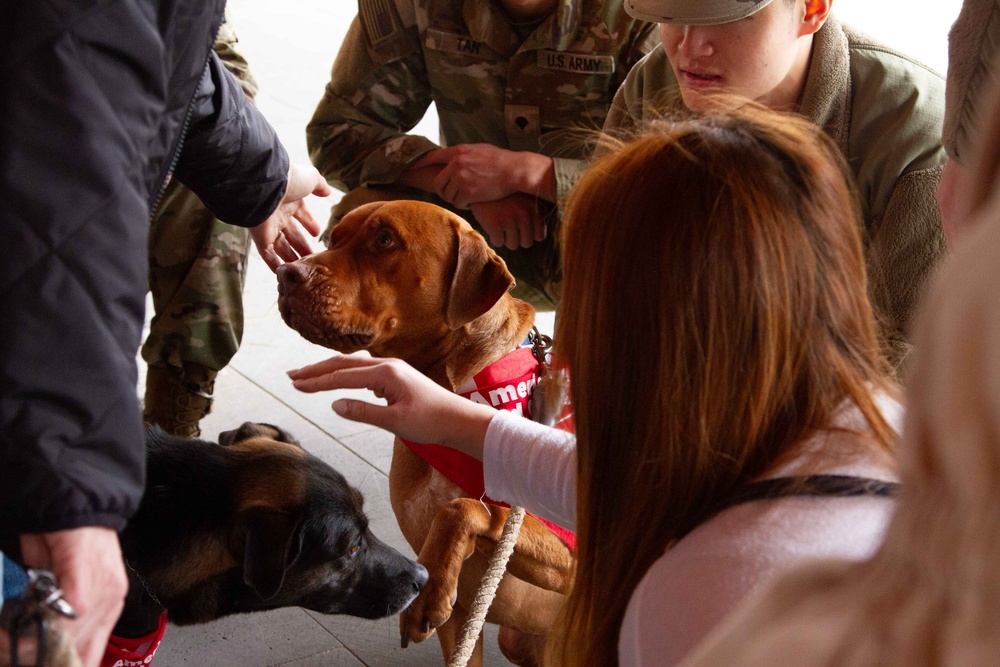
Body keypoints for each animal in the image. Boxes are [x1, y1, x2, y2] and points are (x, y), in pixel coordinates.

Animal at [276, 202, 572, 667]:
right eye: (334, 237)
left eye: (384, 240)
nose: (286, 273)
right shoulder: (460, 618)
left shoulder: (572, 554)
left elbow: (466, 507)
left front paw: (431, 585)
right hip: (519, 640)